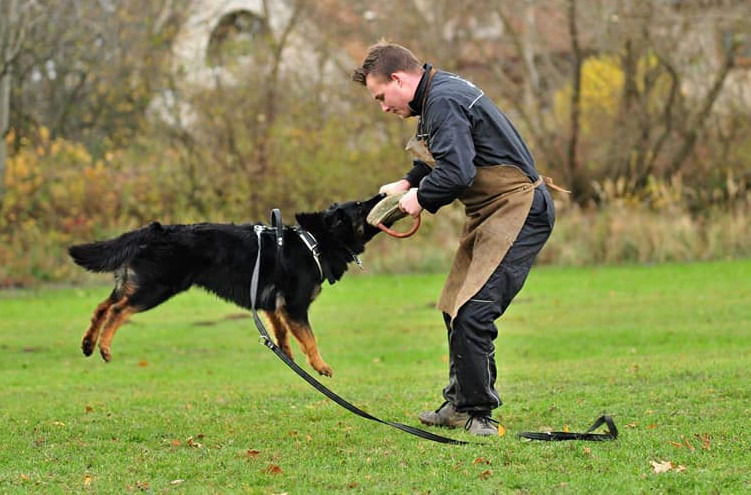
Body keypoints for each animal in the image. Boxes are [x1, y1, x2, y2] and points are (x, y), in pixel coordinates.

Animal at [69, 194, 388, 376]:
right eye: (360, 206)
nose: (382, 193)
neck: (314, 241)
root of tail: (153, 230)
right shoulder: (295, 307)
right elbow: (310, 339)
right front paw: (320, 366)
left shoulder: (273, 307)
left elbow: (282, 336)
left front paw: (289, 359)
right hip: (155, 289)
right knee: (117, 311)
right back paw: (104, 346)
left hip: (134, 286)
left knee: (101, 307)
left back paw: (88, 343)